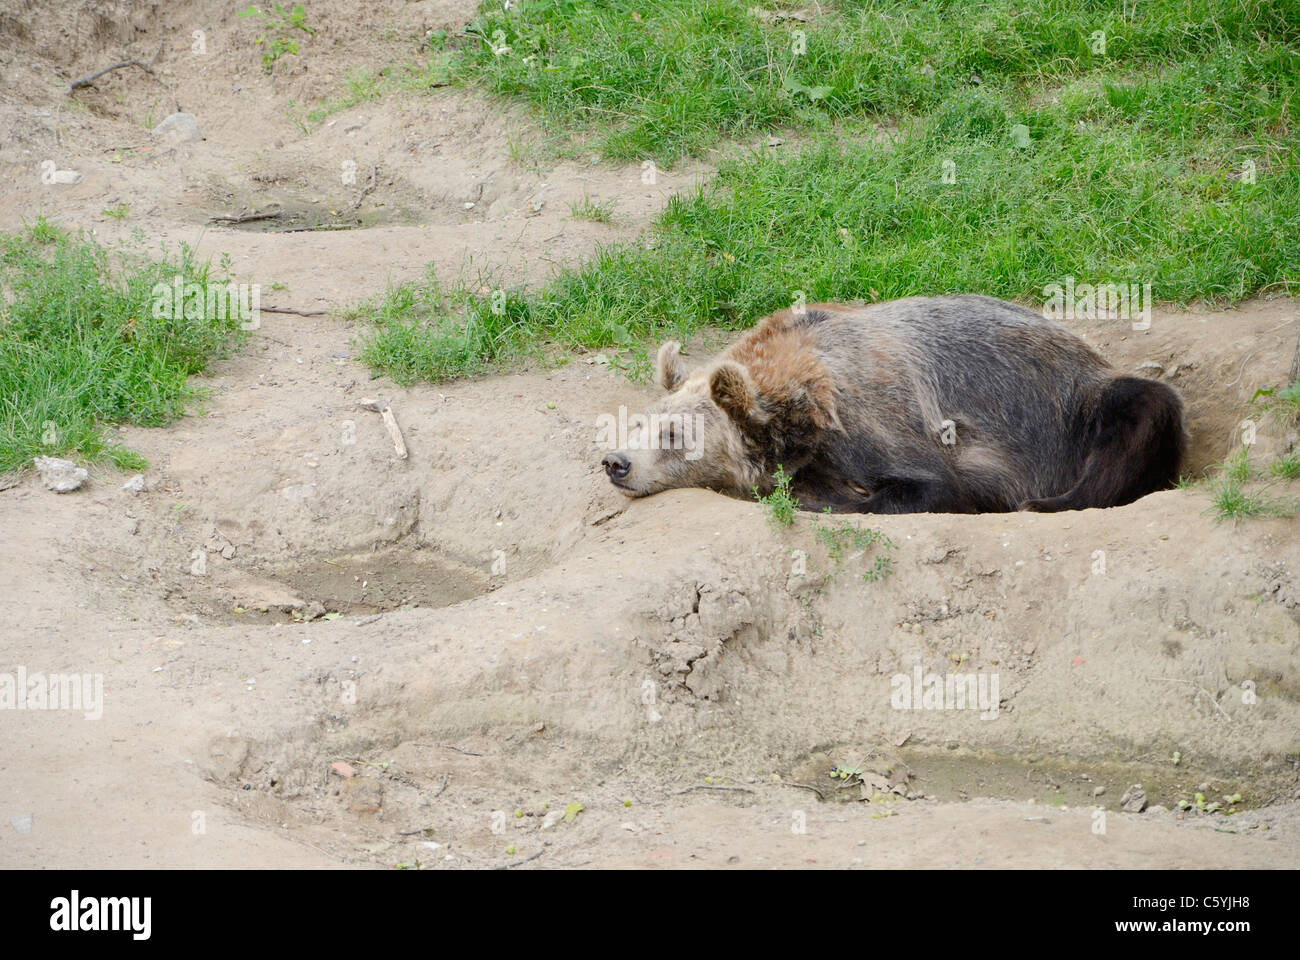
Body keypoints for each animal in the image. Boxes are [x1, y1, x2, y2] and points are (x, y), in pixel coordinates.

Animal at [598, 295, 1190, 512]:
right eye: (641, 424)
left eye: (676, 434)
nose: (615, 462)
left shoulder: (880, 420)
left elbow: (928, 487)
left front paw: (833, 498)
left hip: (1078, 405)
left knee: (1142, 409)